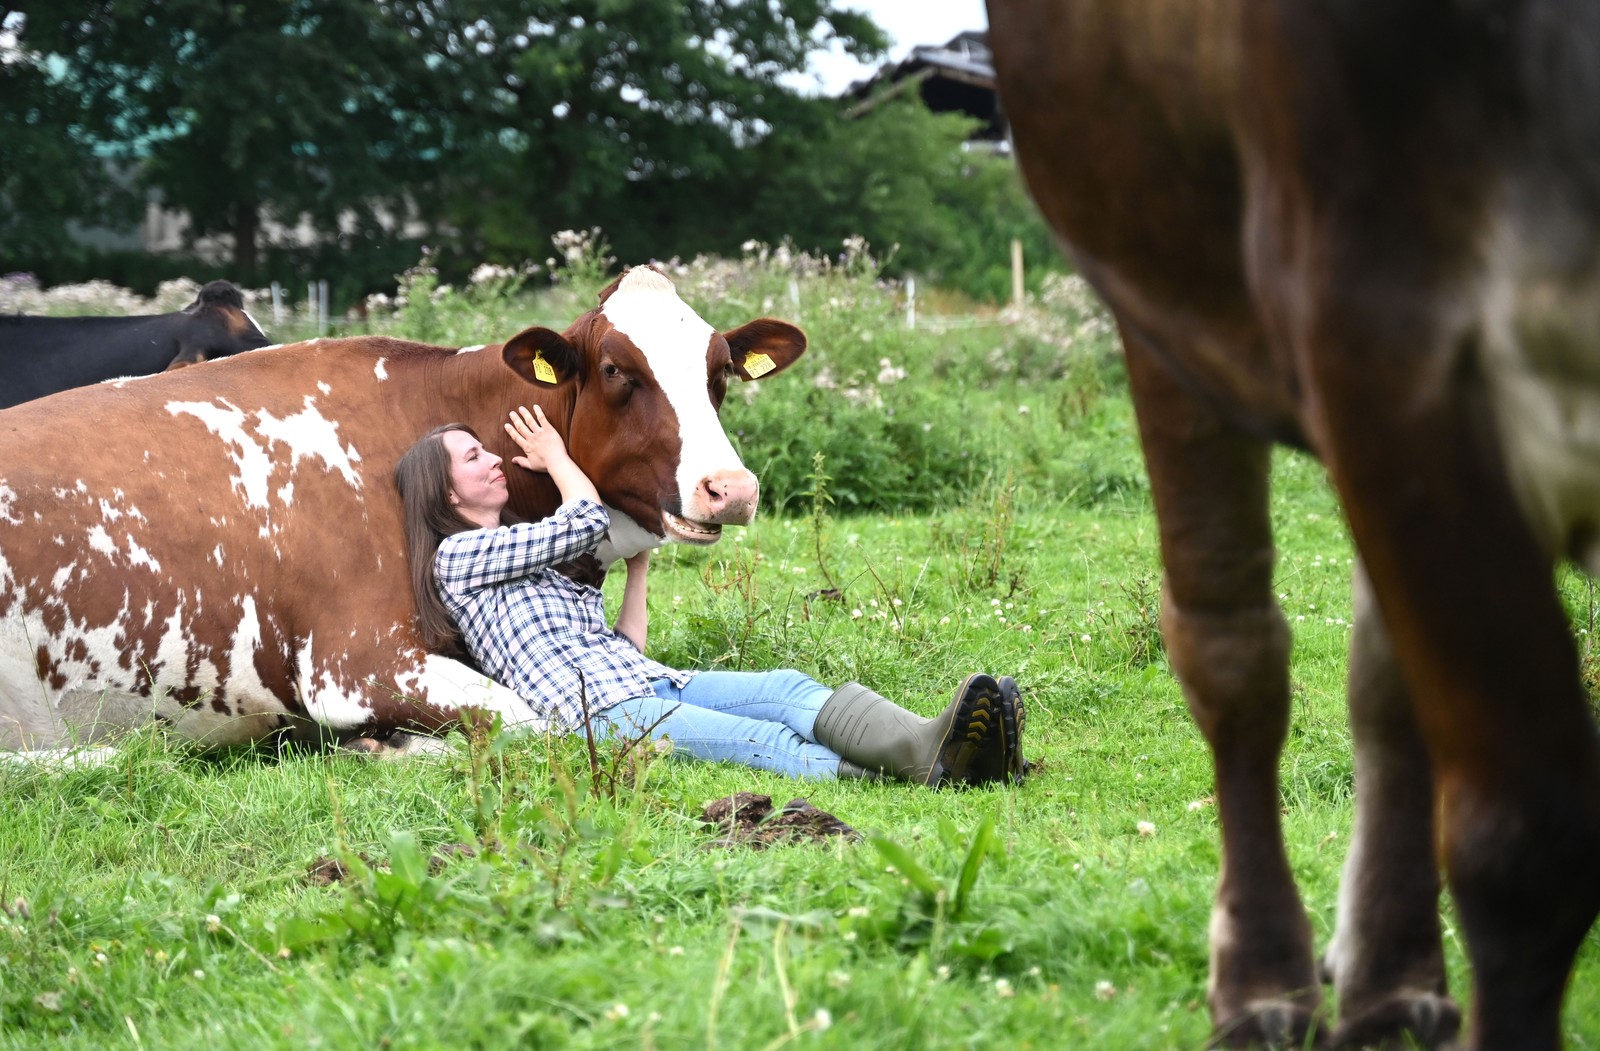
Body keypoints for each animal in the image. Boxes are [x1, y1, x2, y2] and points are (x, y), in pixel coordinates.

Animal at [987, 2, 1600, 1048]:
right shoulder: (1381, 340)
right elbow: (1525, 836)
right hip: (1167, 305)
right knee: (1231, 649)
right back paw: (1267, 981)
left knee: (1378, 680)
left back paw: (1390, 977)